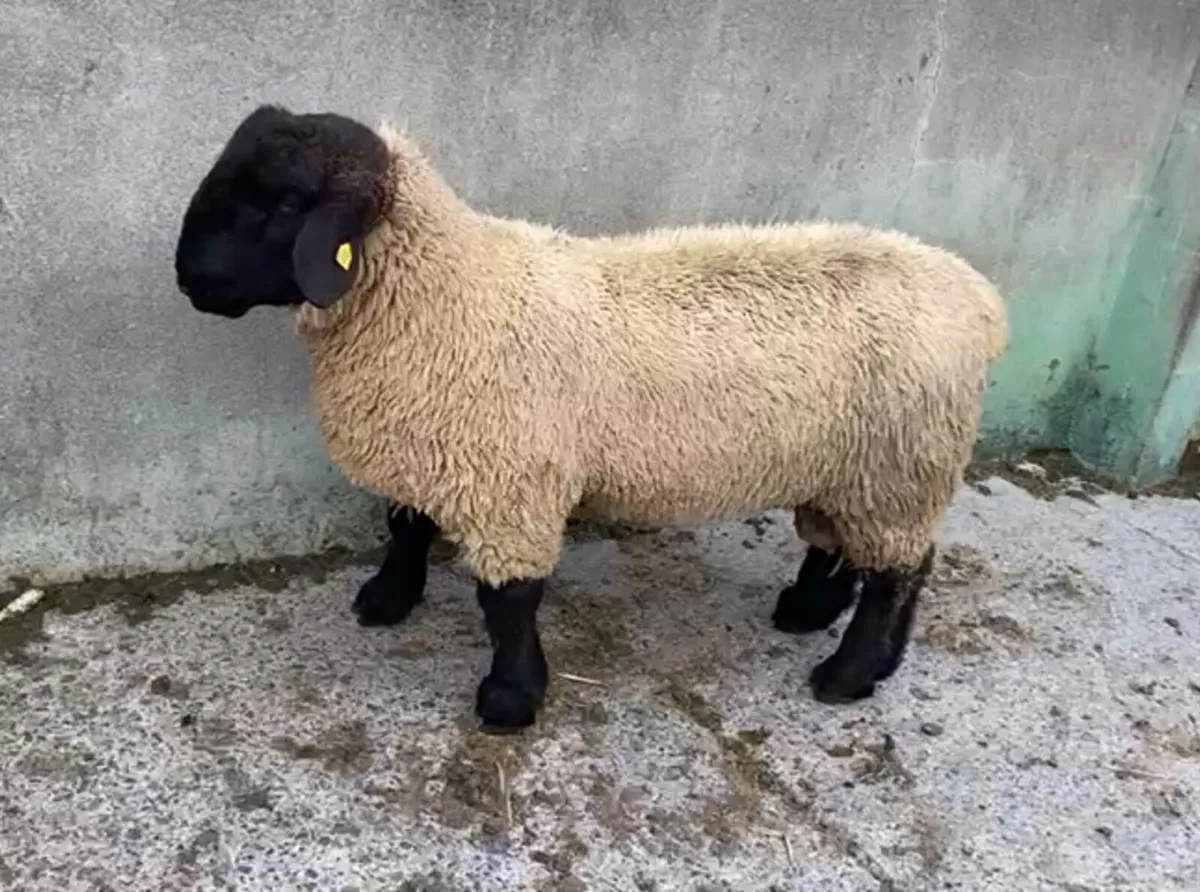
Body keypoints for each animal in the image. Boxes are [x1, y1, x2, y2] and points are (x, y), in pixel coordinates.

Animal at [174, 104, 1009, 732]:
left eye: (286, 203)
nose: (186, 276)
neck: (447, 296)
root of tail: (974, 293)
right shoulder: (431, 445)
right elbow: (405, 528)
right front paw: (385, 602)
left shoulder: (509, 483)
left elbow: (507, 600)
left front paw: (510, 700)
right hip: (851, 464)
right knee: (844, 547)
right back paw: (806, 612)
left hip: (901, 465)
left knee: (901, 570)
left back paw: (850, 672)